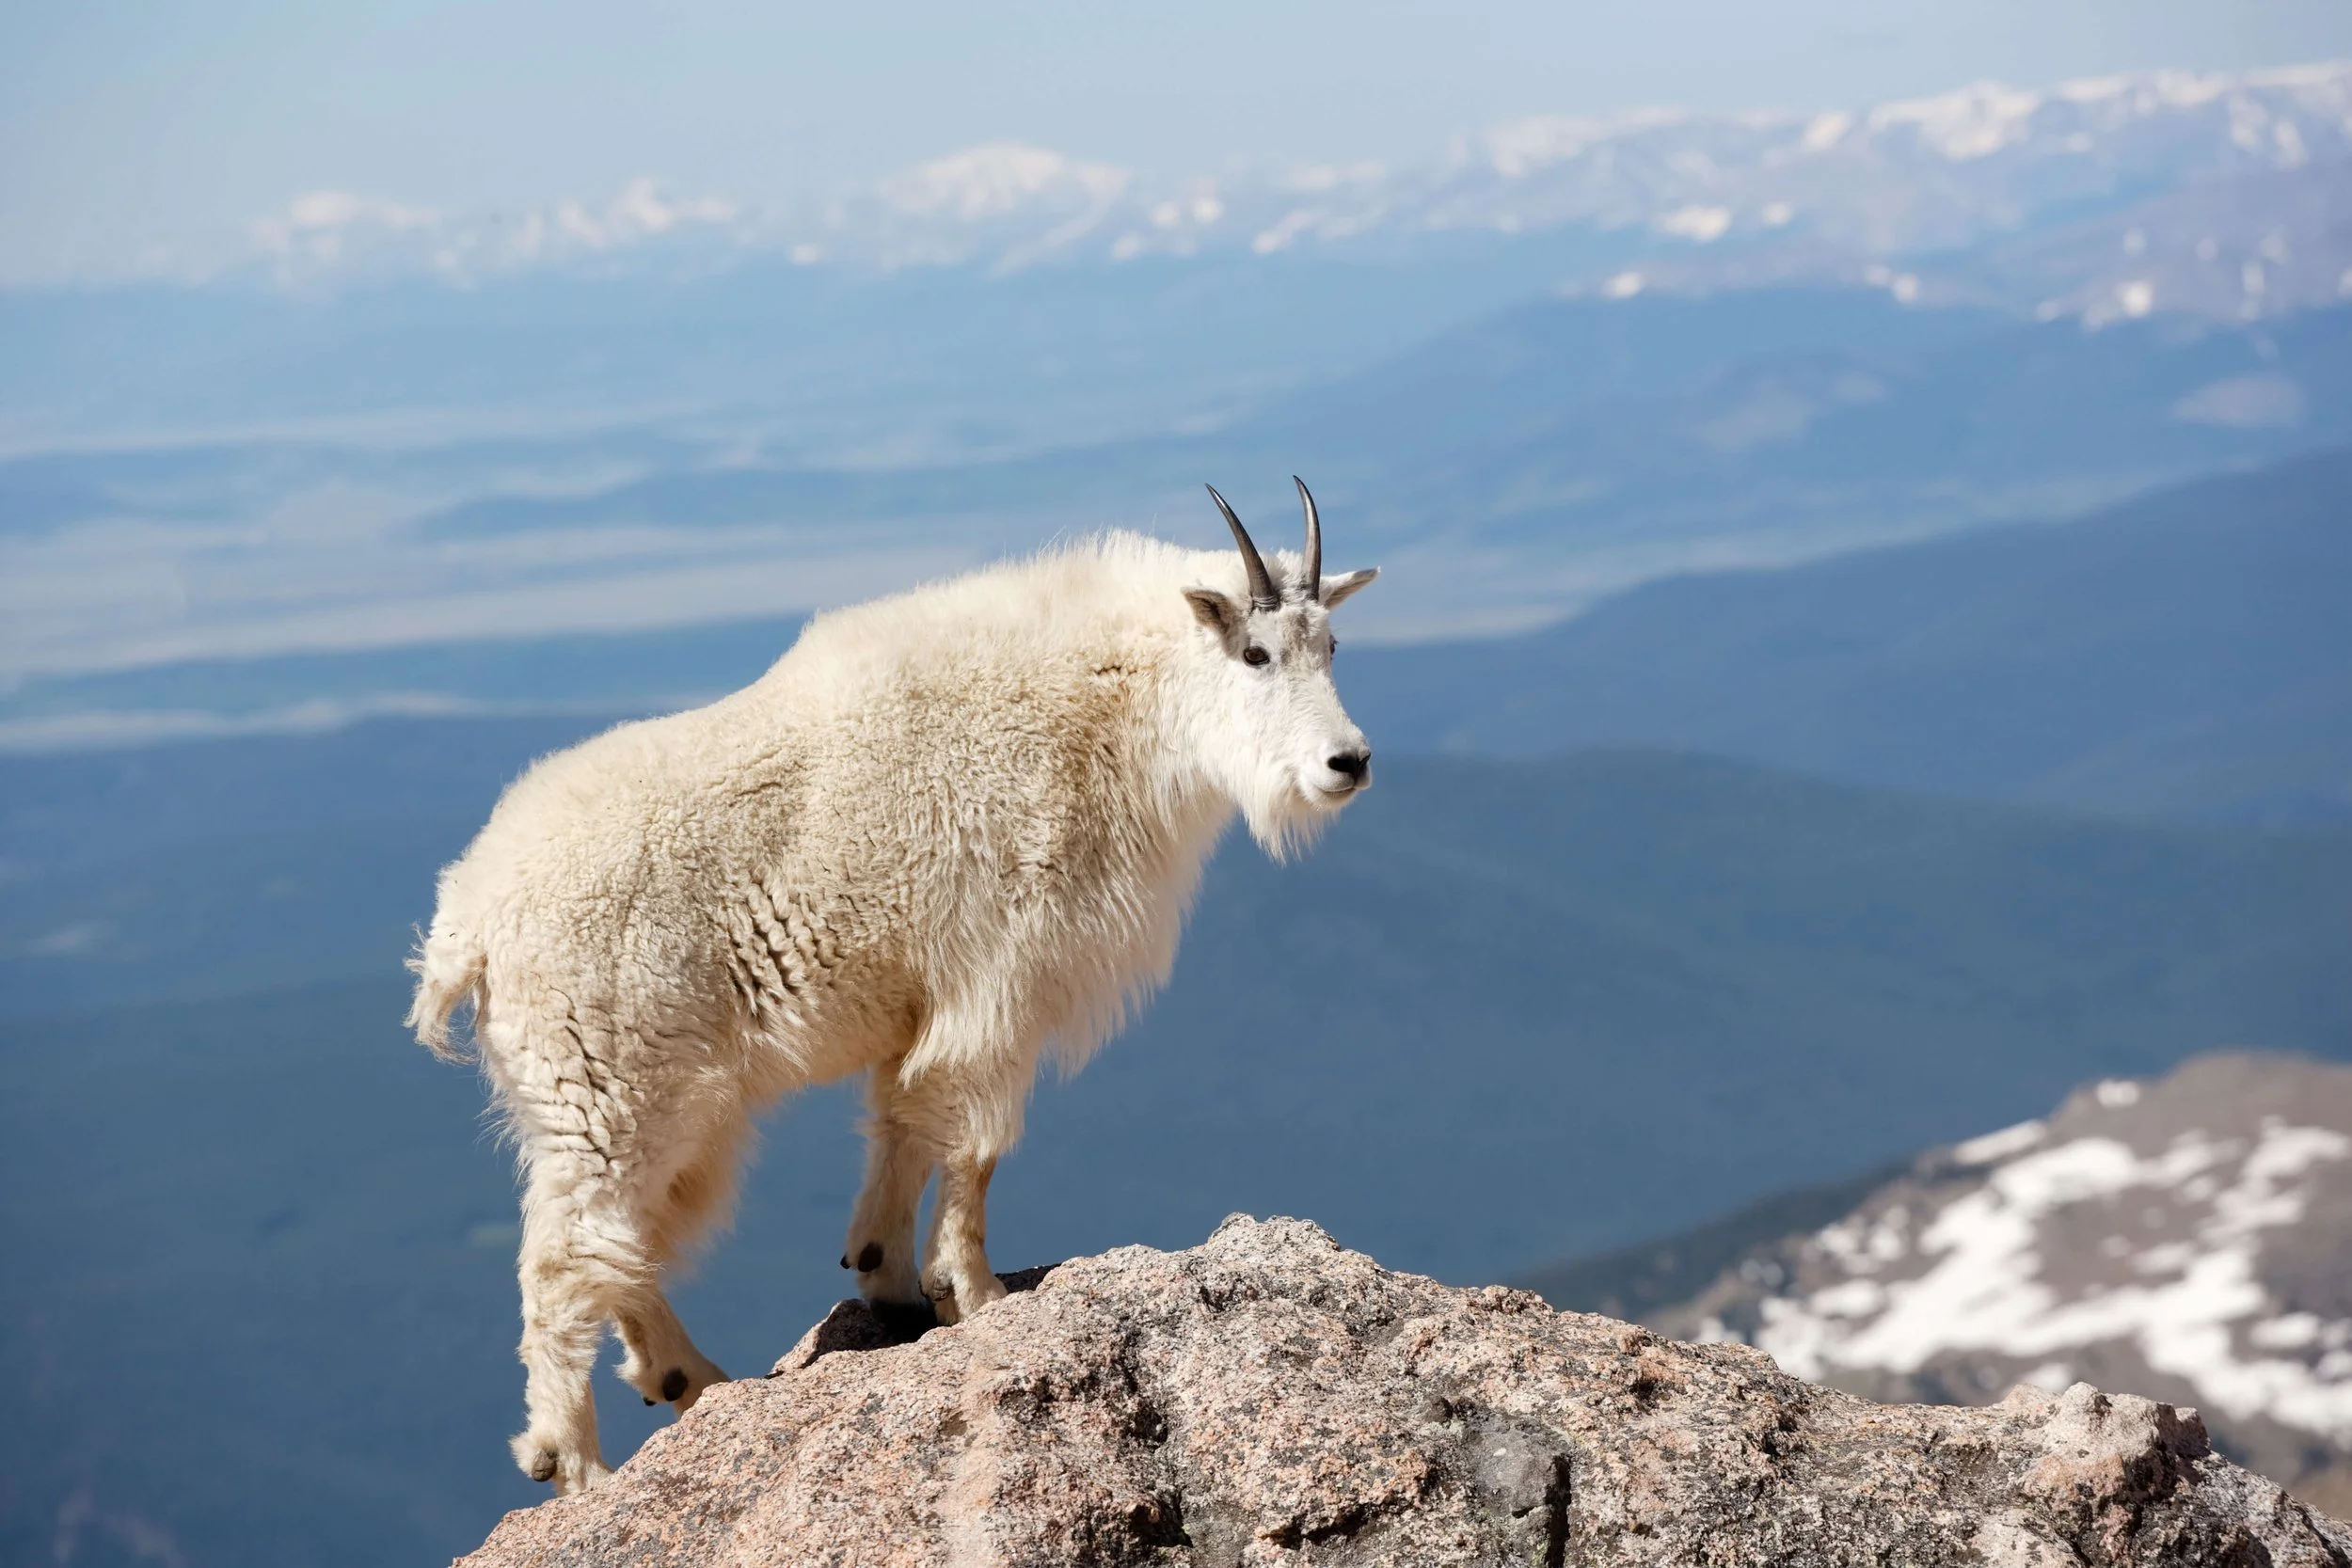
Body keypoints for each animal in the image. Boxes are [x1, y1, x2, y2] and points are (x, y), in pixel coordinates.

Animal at [407, 481, 1377, 1491]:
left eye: (1332, 646)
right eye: (1256, 652)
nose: (1348, 762)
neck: (1108, 703)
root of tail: (466, 926)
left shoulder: (933, 1004)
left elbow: (905, 1119)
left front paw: (889, 1276)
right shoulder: (1001, 980)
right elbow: (976, 1140)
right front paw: (976, 1293)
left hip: (612, 1103)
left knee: (617, 1246)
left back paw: (685, 1377)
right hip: (609, 1087)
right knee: (566, 1262)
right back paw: (578, 1464)